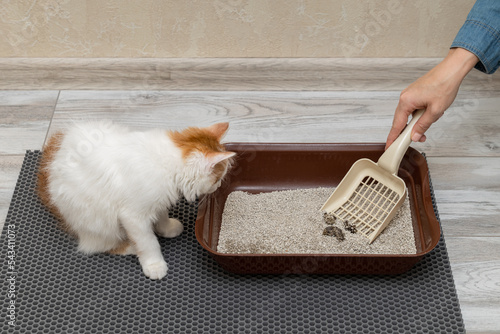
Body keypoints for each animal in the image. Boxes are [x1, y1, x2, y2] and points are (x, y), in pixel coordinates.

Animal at [38, 121, 235, 280]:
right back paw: (131, 247)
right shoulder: (133, 216)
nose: (218, 186)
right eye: (217, 179)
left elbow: (161, 217)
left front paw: (167, 229)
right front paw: (154, 264)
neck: (166, 162)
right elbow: (148, 242)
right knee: (97, 246)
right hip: (99, 220)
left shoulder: (158, 201)